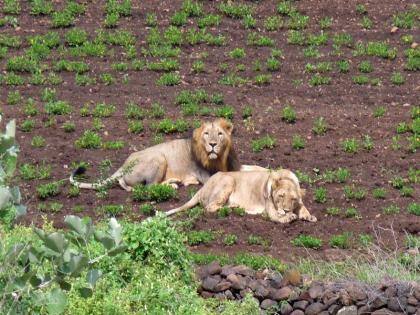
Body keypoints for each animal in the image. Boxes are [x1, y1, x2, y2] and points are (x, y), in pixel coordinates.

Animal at [69, 119, 240, 191]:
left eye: (220, 134)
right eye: (206, 134)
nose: (213, 144)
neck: (219, 158)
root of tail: (123, 165)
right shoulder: (205, 175)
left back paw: (176, 181)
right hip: (159, 157)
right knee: (148, 186)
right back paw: (173, 184)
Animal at [166, 170, 316, 225]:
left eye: (293, 199)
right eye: (281, 196)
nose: (286, 210)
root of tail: (202, 187)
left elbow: (303, 207)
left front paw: (309, 216)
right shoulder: (270, 209)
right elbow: (277, 217)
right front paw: (288, 217)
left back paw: (235, 206)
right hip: (228, 179)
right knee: (210, 207)